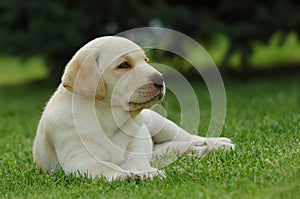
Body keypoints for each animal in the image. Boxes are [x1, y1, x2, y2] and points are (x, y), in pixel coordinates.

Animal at [32, 35, 234, 180]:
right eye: (123, 65)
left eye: (145, 60)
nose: (161, 80)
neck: (107, 118)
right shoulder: (81, 159)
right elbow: (107, 167)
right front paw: (131, 175)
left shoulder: (134, 150)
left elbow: (137, 162)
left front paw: (144, 173)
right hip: (158, 148)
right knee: (172, 148)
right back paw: (201, 150)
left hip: (160, 123)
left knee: (187, 137)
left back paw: (217, 143)